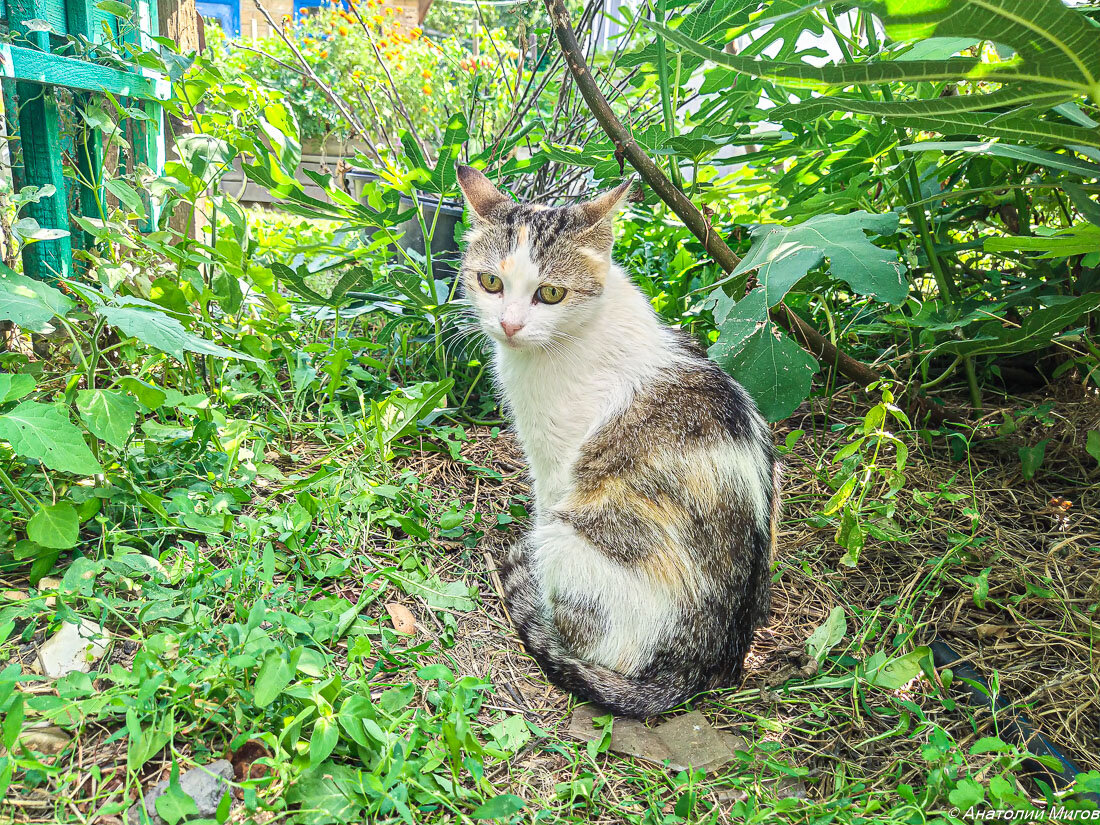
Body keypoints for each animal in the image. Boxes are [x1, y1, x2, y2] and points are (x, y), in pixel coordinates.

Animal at [455, 166, 783, 717]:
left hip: (571, 544)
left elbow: (542, 502)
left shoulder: (554, 463)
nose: (510, 324)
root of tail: (701, 665)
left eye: (551, 294)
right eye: (491, 282)